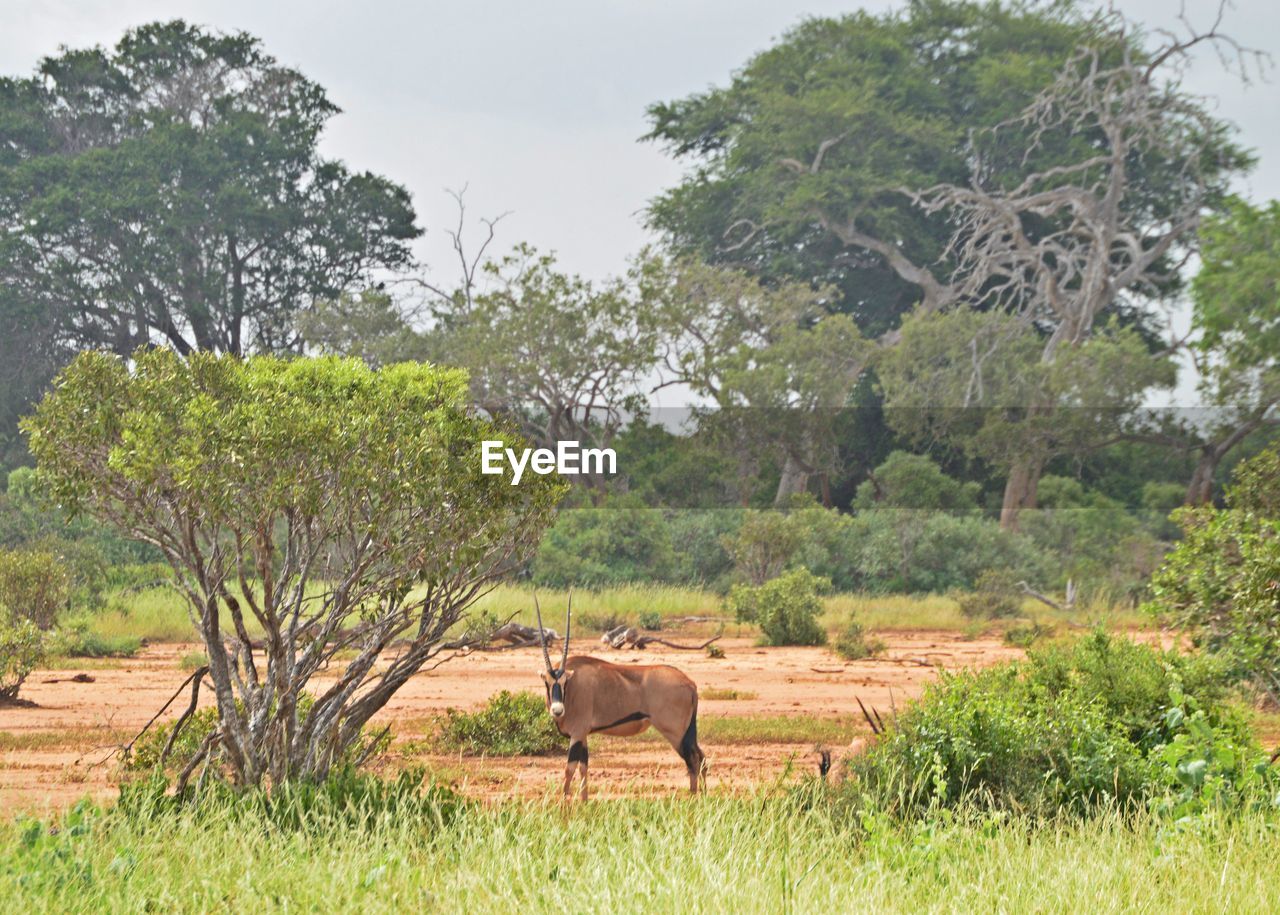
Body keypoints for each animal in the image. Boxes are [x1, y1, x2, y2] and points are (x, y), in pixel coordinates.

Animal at [532, 593, 706, 803]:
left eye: (565, 682)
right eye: (547, 682)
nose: (557, 709)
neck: (572, 690)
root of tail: (689, 683)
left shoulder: (577, 733)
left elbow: (570, 768)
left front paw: (565, 803)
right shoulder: (584, 735)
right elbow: (583, 767)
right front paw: (584, 801)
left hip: (675, 732)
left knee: (693, 759)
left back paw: (693, 798)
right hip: (686, 732)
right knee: (701, 757)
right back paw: (703, 795)